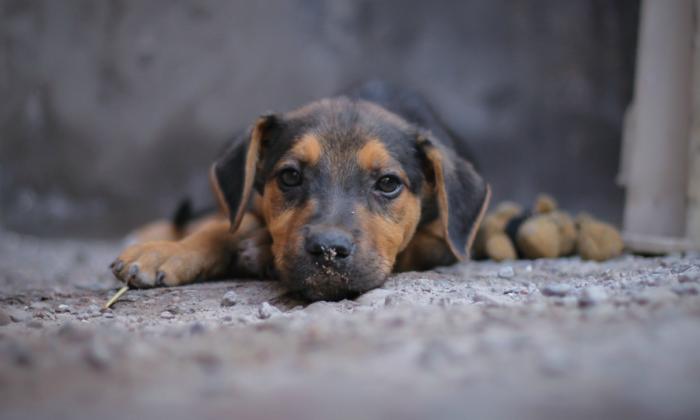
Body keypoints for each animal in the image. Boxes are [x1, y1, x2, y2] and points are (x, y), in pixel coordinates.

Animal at [110, 81, 492, 298]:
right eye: (290, 176)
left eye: (388, 183)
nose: (328, 251)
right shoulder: (248, 204)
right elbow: (220, 228)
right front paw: (164, 252)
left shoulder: (448, 240)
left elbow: (412, 248)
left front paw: (259, 249)